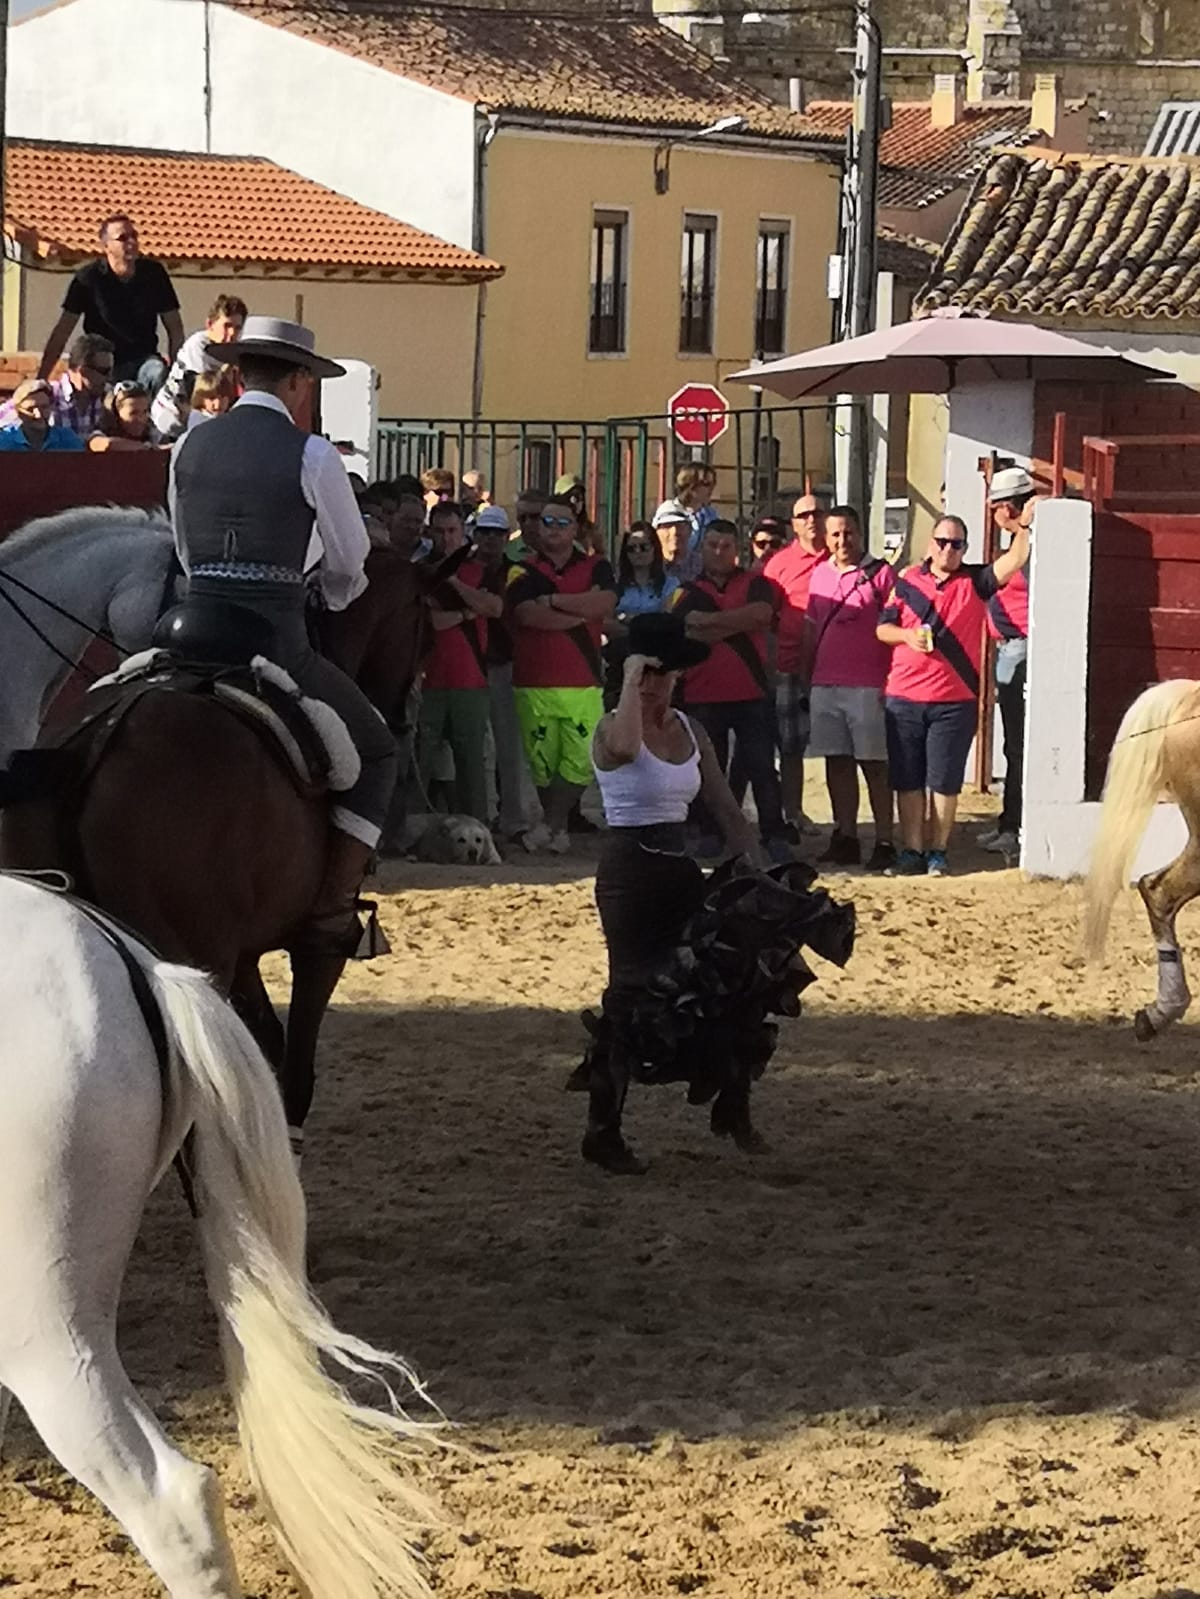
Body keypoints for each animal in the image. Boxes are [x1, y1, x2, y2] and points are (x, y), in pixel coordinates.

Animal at [0, 543, 432, 1132]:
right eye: (421, 626)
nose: (406, 721)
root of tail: (98, 740)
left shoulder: (242, 954)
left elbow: (266, 1048)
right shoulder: (314, 944)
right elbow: (294, 1068)